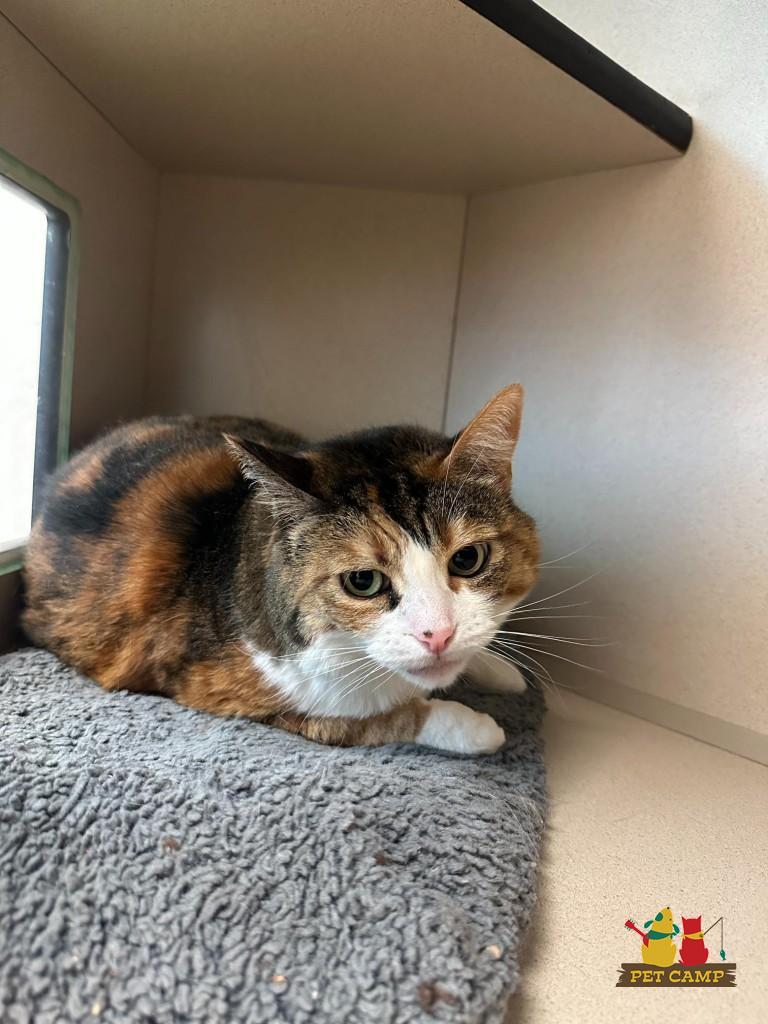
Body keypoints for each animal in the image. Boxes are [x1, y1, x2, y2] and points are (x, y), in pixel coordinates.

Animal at [23, 385, 538, 754]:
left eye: (468, 559)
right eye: (362, 581)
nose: (439, 635)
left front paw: (499, 669)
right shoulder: (225, 690)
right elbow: (372, 720)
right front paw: (477, 727)